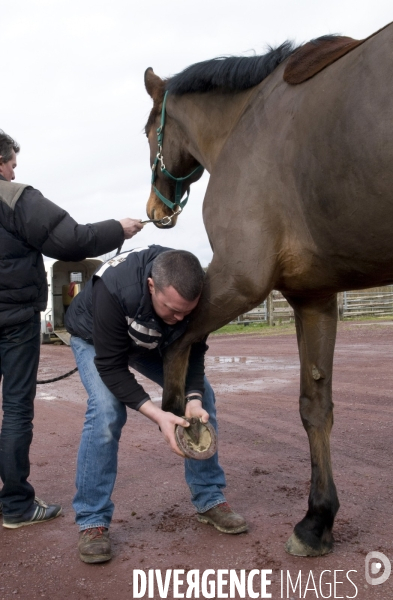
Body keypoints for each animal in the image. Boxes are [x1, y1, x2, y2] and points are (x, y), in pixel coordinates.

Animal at [142, 23, 392, 556]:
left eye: (149, 130)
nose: (155, 211)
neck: (244, 123)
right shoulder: (314, 299)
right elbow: (314, 408)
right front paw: (317, 519)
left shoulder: (239, 277)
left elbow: (178, 342)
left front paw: (178, 414)